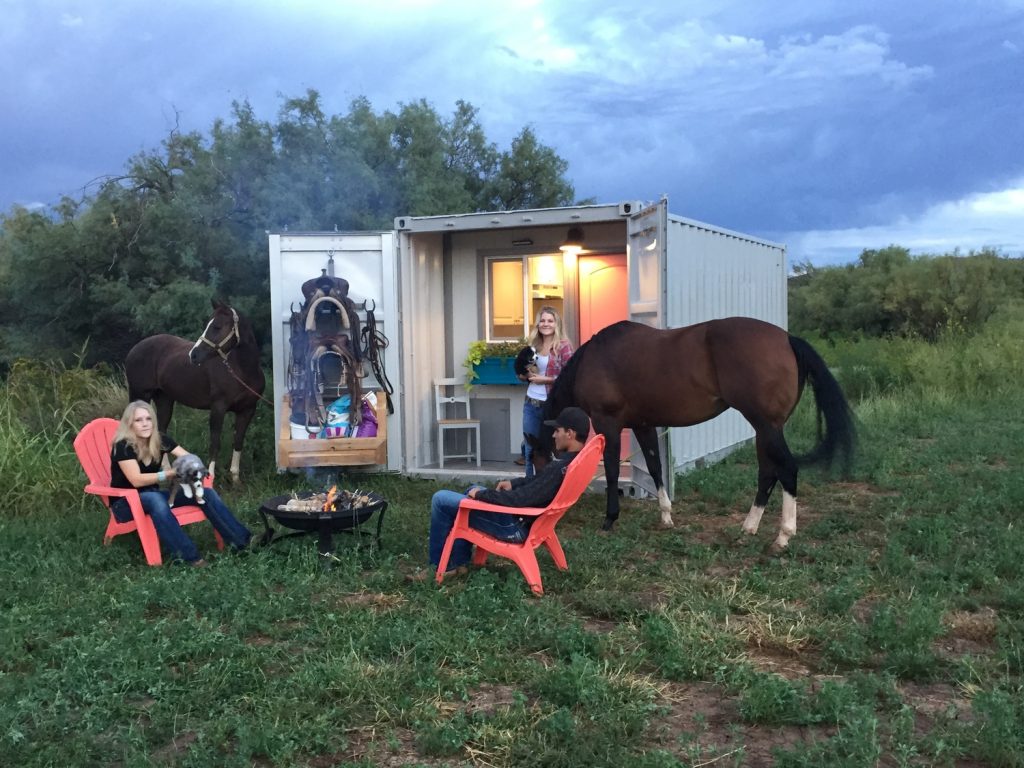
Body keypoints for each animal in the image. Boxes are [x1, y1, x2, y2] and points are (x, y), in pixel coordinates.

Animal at [124, 299, 266, 481]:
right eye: (208, 325)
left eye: (217, 327)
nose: (194, 355)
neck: (242, 371)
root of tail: (134, 349)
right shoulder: (218, 408)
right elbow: (215, 443)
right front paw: (210, 478)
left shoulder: (247, 410)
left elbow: (238, 441)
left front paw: (235, 478)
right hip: (139, 395)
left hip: (164, 399)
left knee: (160, 431)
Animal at [536, 319, 856, 552]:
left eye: (539, 456)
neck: (595, 358)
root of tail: (788, 339)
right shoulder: (643, 425)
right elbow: (655, 467)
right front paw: (666, 515)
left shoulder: (608, 423)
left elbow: (613, 471)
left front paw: (610, 518)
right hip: (766, 429)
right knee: (768, 472)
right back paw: (748, 528)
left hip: (766, 426)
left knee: (787, 469)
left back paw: (783, 536)